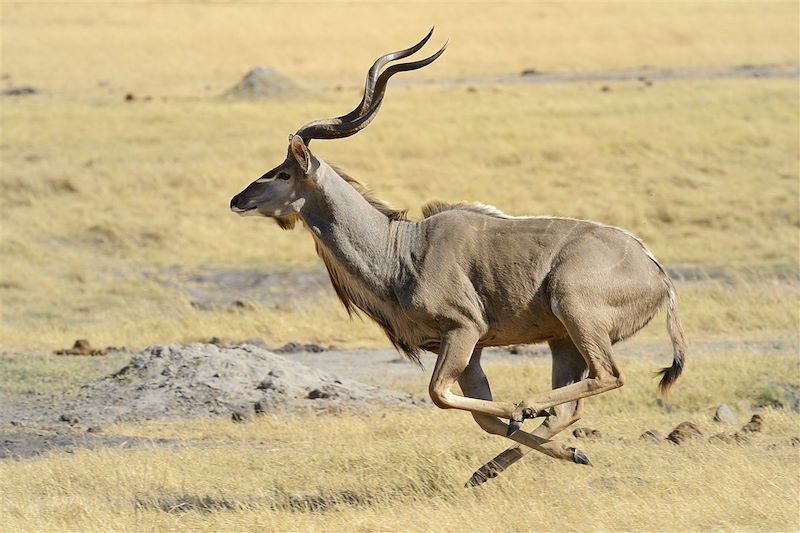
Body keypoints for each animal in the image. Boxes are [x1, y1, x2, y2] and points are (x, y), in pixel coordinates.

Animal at [230, 30, 688, 486]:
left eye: (285, 172)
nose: (238, 200)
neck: (402, 250)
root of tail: (657, 275)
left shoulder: (464, 330)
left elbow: (441, 395)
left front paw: (518, 411)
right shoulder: (469, 348)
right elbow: (481, 416)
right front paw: (524, 454)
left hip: (575, 312)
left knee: (607, 376)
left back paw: (529, 409)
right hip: (563, 342)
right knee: (570, 406)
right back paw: (524, 460)